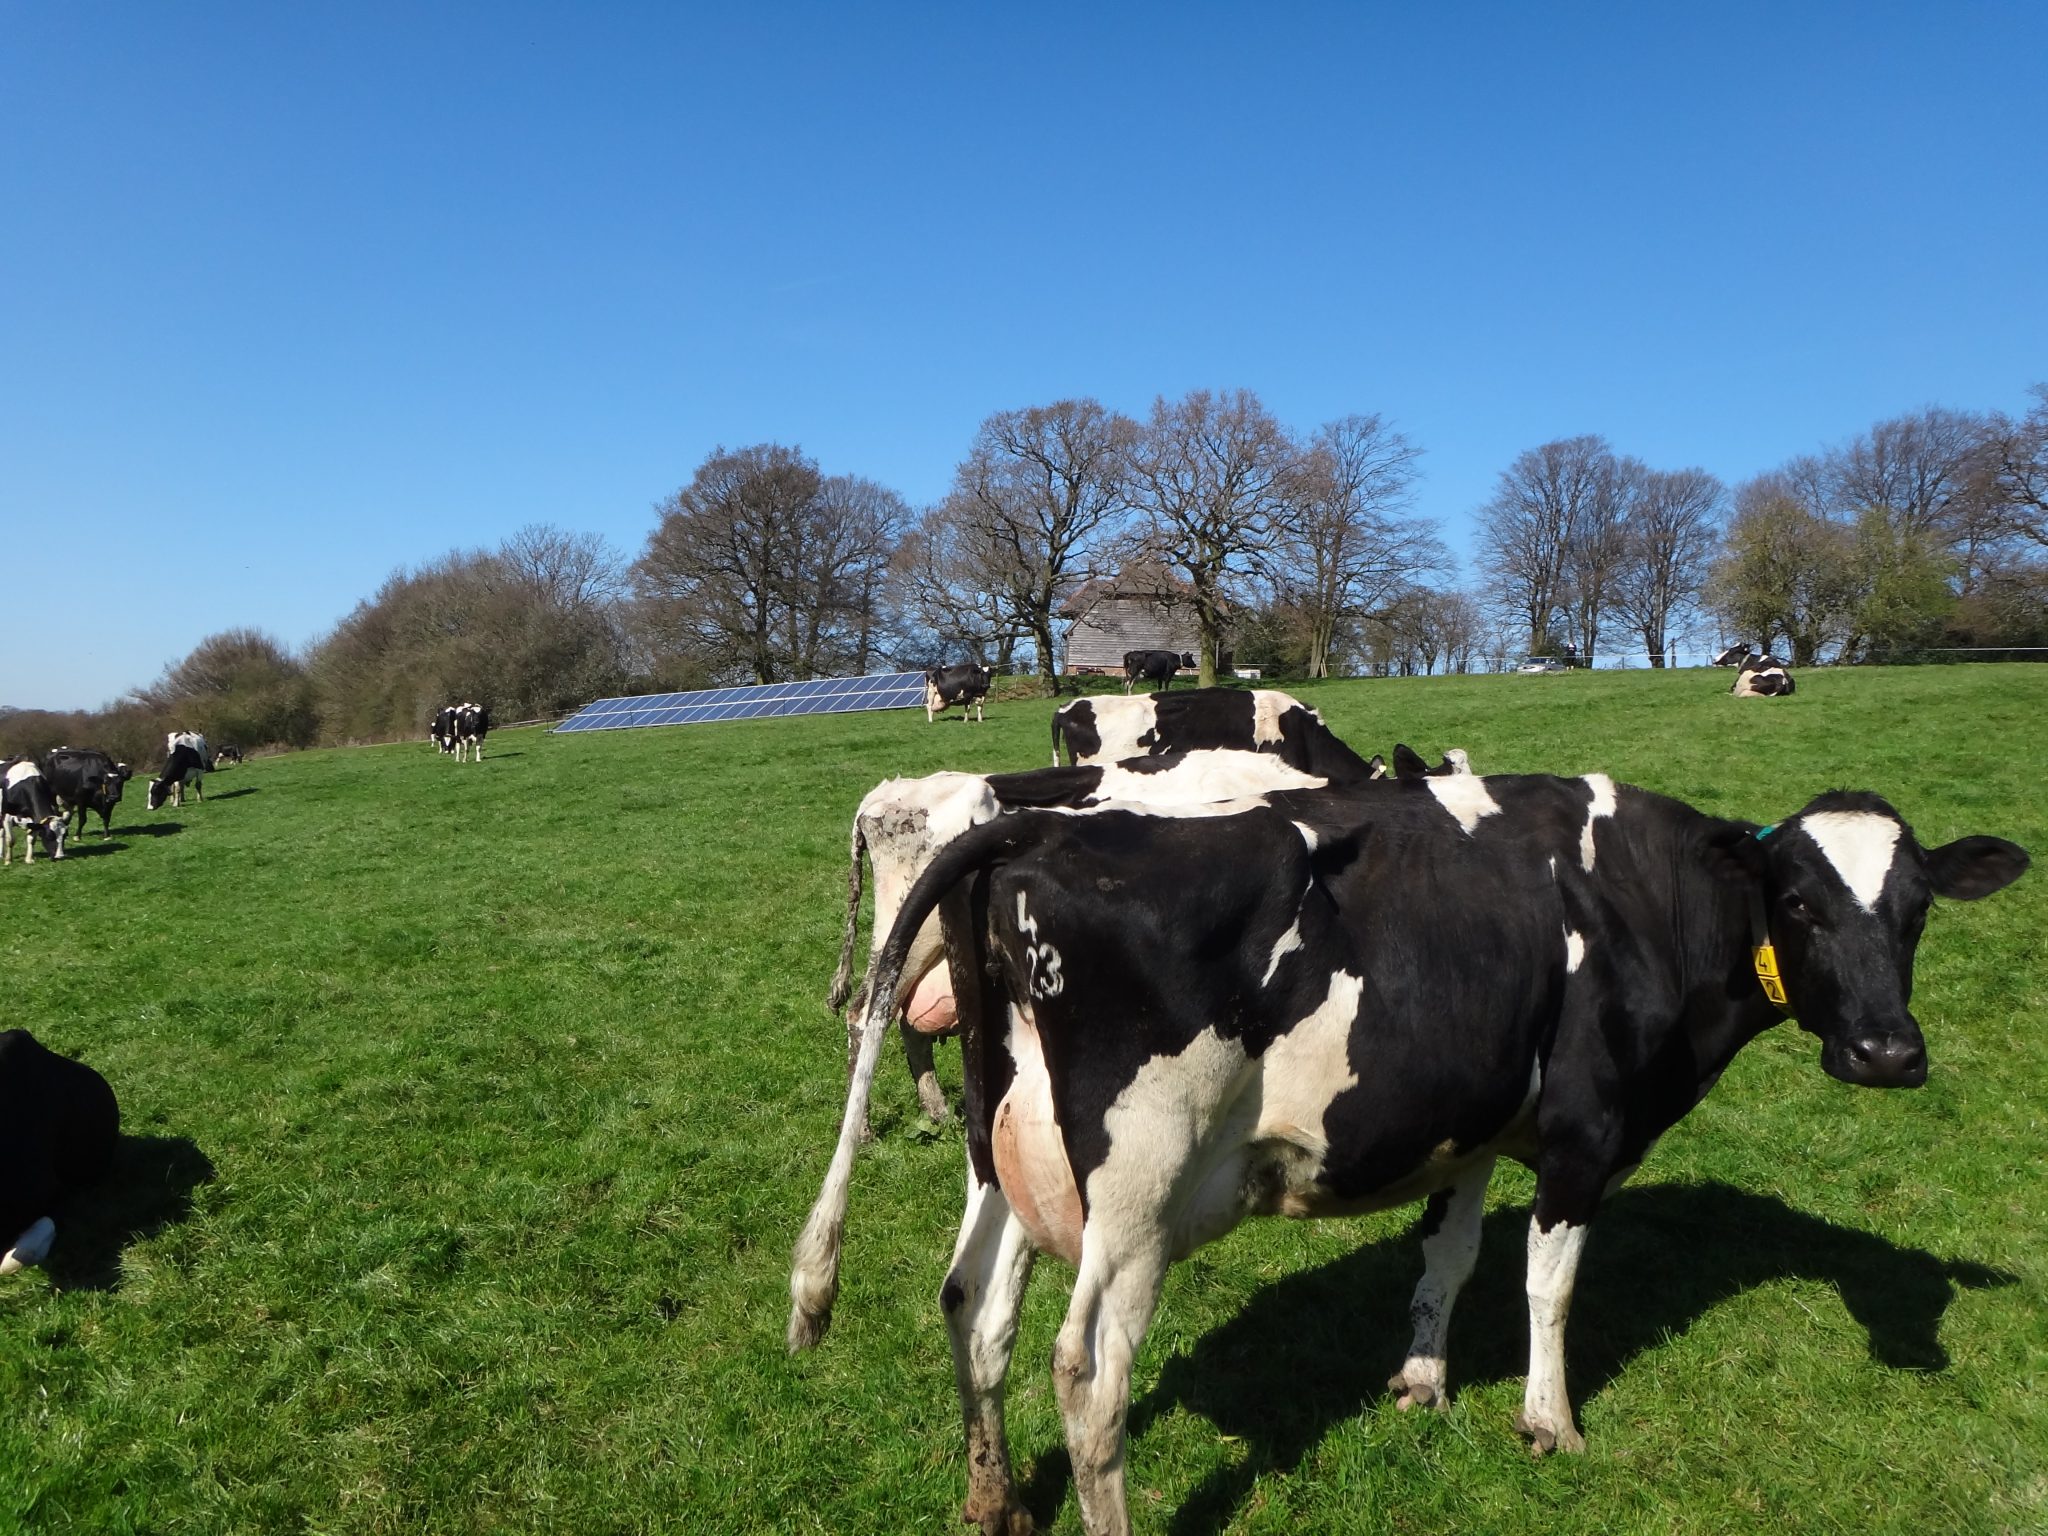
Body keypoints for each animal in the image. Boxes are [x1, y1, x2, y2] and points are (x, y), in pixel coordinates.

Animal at [791, 777, 2028, 1533]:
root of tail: (1037, 823)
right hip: (1136, 1188)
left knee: (972, 1306)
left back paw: (992, 1502)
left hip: (1009, 1152)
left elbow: (1450, 1259)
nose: (1885, 1052)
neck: (1632, 904)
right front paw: (1548, 1423)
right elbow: (1547, 1284)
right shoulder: (1585, 1134)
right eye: (1800, 904)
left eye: (1915, 910)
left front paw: (1421, 1383)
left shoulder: (1465, 1124)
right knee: (1087, 1373)